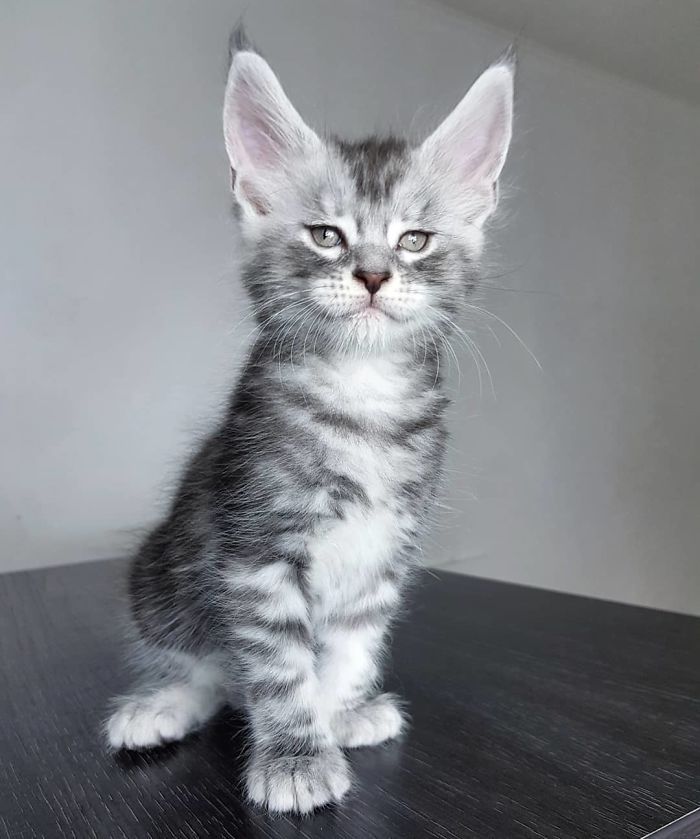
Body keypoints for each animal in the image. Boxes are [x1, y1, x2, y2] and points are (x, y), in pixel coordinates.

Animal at [106, 32, 516, 812]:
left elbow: (348, 649)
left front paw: (336, 715)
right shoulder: (257, 547)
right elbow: (278, 665)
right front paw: (296, 757)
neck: (363, 400)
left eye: (414, 240)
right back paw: (159, 707)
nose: (374, 274)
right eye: (327, 235)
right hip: (159, 579)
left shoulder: (385, 551)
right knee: (210, 673)